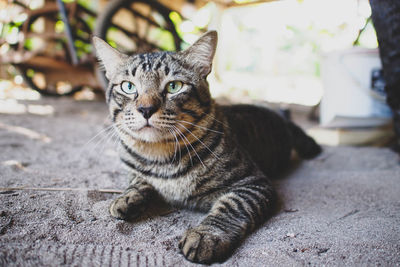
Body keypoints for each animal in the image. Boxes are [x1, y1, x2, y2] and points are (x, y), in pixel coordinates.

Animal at [92, 30, 320, 264]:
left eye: (174, 86)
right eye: (128, 87)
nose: (145, 109)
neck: (161, 157)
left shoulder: (253, 182)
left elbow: (231, 206)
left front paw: (204, 236)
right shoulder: (135, 171)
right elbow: (138, 182)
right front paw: (127, 197)